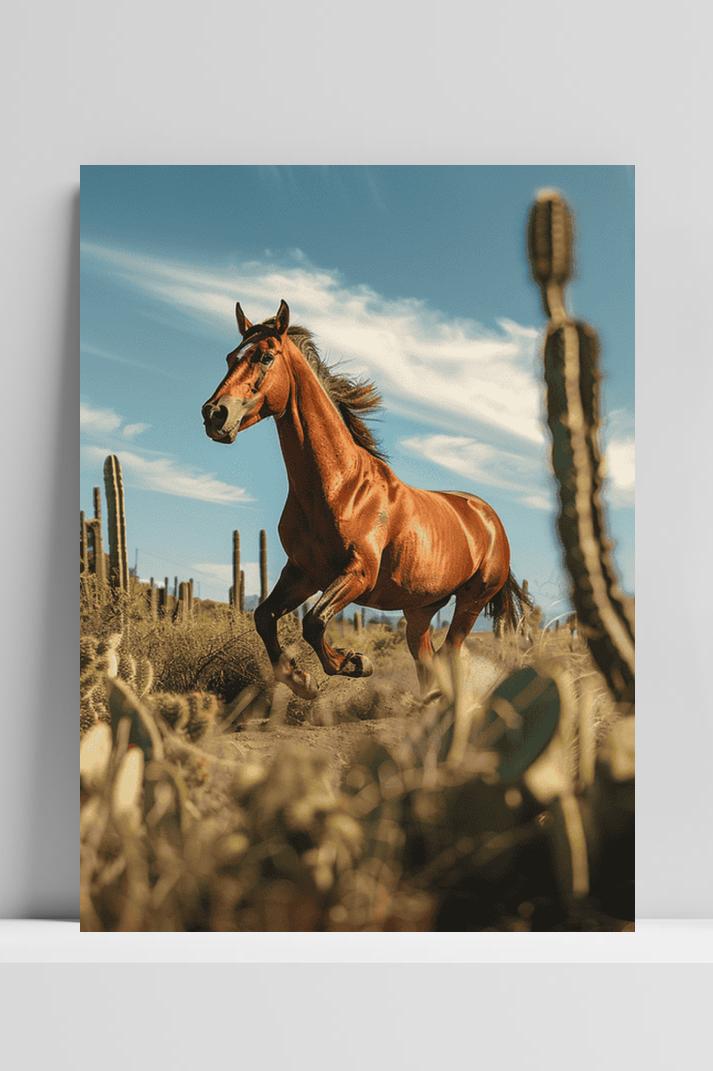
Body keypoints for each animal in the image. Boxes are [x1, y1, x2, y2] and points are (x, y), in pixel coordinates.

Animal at [202, 300, 530, 699]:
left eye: (265, 356)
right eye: (230, 357)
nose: (214, 414)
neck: (339, 487)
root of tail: (489, 517)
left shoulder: (357, 573)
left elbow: (314, 621)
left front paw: (354, 662)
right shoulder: (302, 572)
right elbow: (265, 617)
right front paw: (302, 681)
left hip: (471, 601)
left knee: (449, 653)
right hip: (419, 610)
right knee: (427, 658)